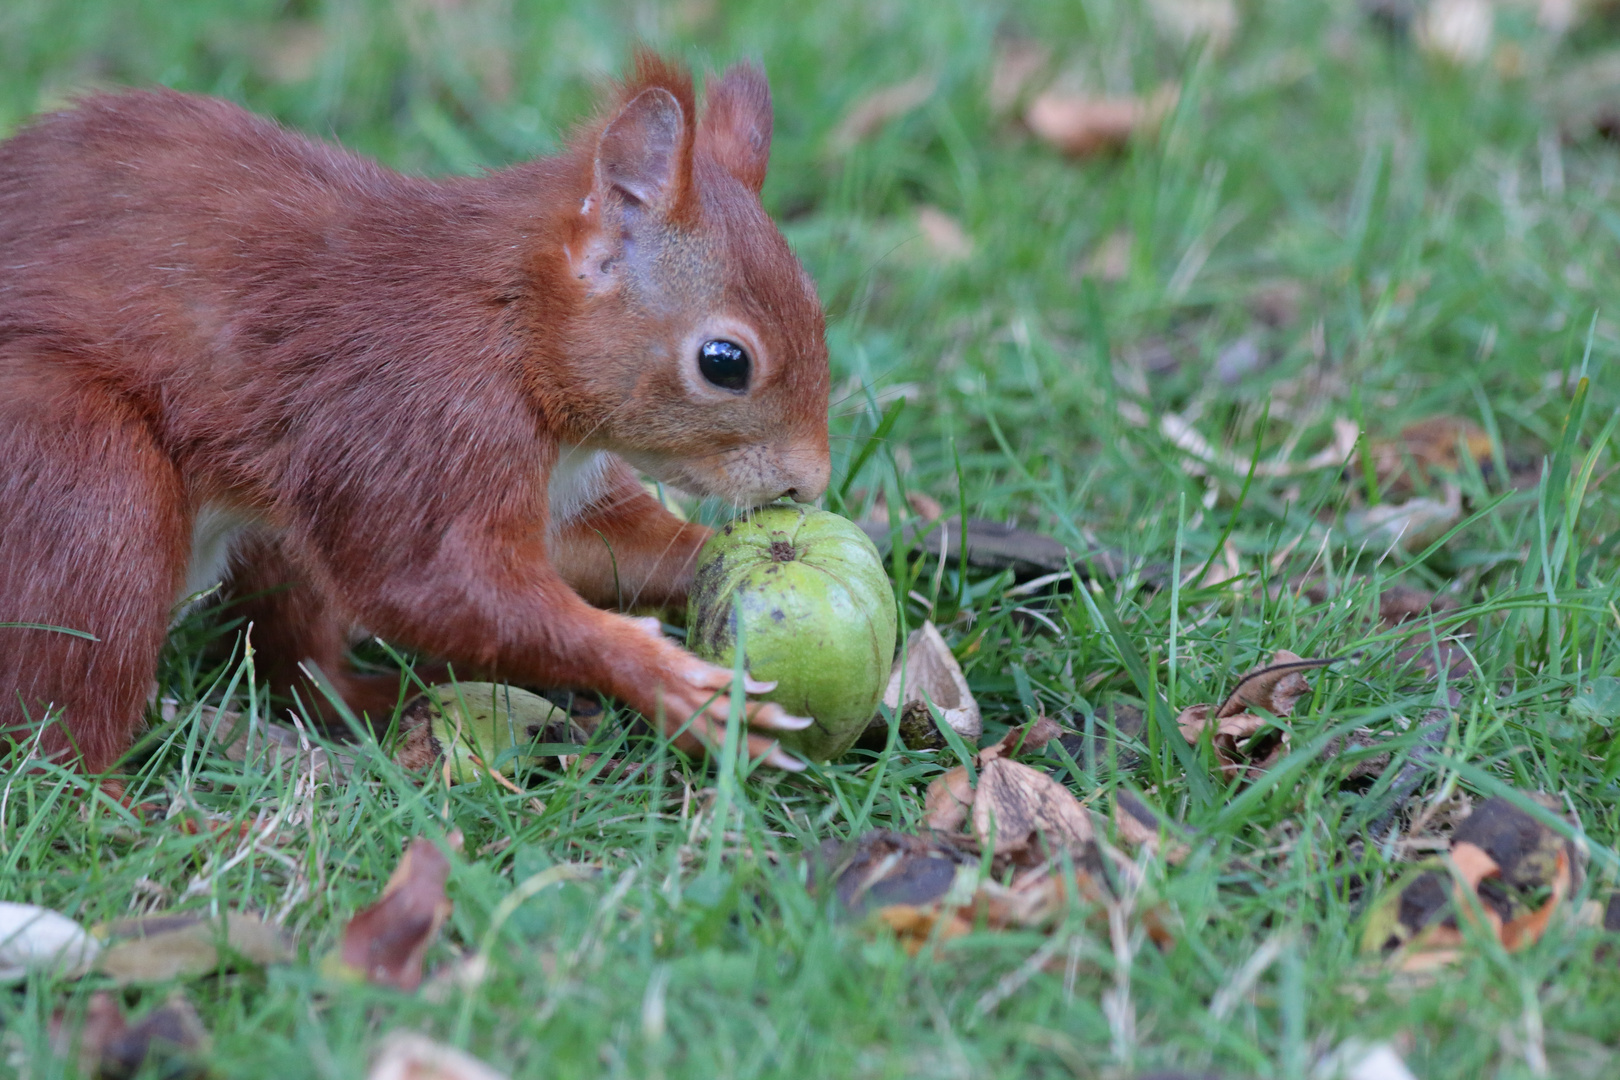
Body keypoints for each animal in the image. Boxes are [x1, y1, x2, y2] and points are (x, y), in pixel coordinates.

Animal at [0, 52, 829, 777]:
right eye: (725, 362)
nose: (809, 486)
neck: (510, 325)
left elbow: (610, 547)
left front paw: (732, 557)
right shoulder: (415, 420)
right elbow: (425, 584)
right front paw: (675, 685)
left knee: (299, 672)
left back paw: (392, 697)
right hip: (85, 476)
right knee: (61, 739)